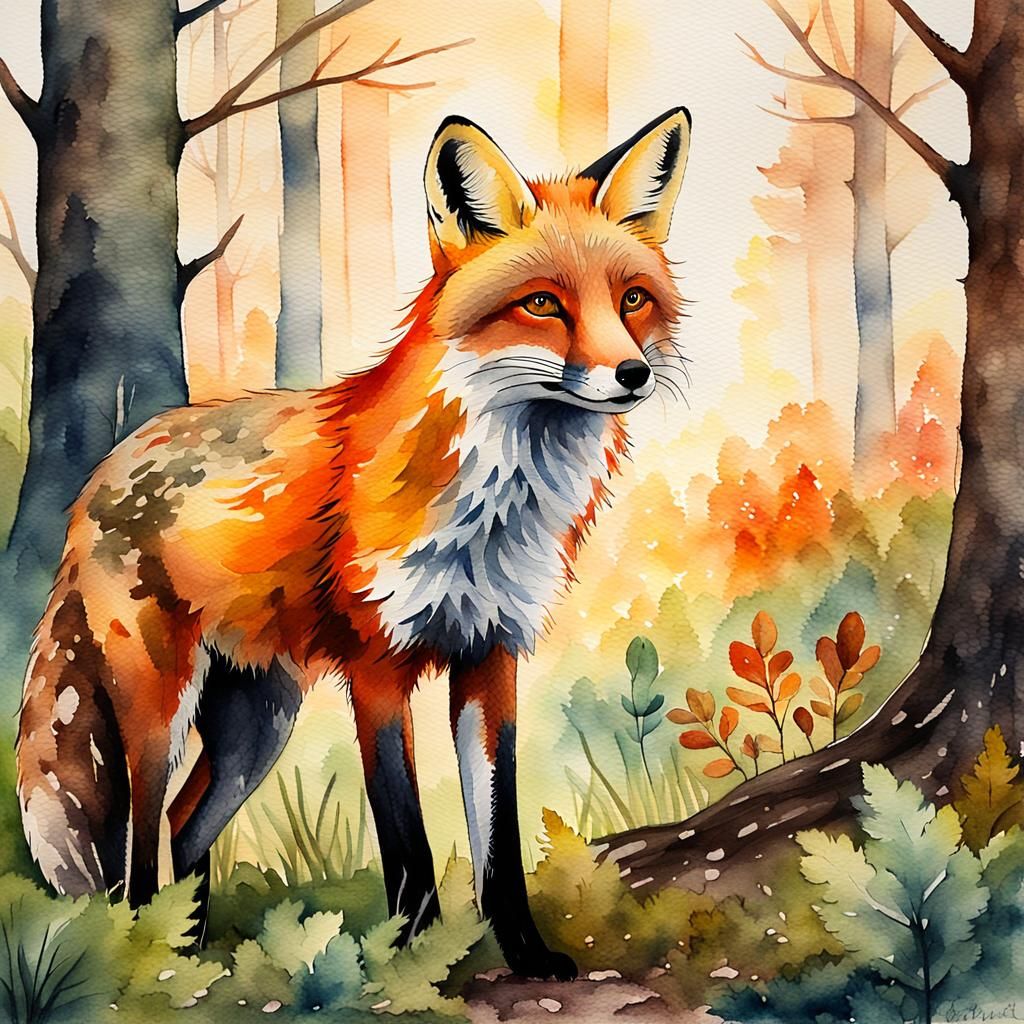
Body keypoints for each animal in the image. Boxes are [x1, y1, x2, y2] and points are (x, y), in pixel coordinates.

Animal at [16, 107, 691, 980]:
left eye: (633, 299)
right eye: (544, 304)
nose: (632, 374)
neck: (492, 507)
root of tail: (104, 468)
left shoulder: (491, 658)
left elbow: (498, 841)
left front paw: (525, 955)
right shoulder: (376, 667)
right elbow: (406, 843)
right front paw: (413, 965)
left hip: (257, 724)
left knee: (183, 823)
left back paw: (197, 950)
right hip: (159, 707)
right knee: (138, 840)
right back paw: (157, 956)